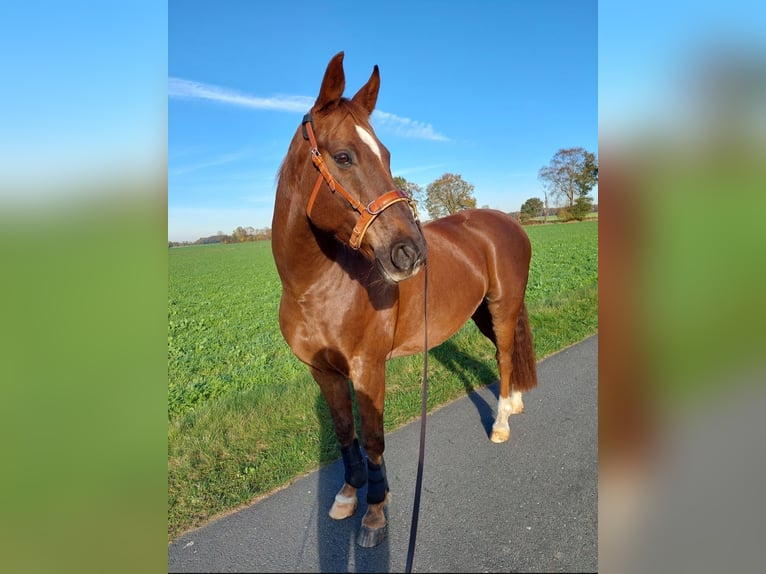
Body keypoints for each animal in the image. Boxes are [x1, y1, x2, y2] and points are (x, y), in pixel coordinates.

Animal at [272, 53, 536, 548]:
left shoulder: (367, 368)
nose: (410, 252)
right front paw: (348, 495)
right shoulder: (323, 372)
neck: (317, 287)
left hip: (502, 305)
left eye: (387, 154)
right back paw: (512, 404)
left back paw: (501, 424)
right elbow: (345, 433)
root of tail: (508, 221)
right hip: (481, 313)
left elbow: (374, 438)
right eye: (343, 156)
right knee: (503, 352)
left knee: (507, 355)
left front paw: (376, 509)